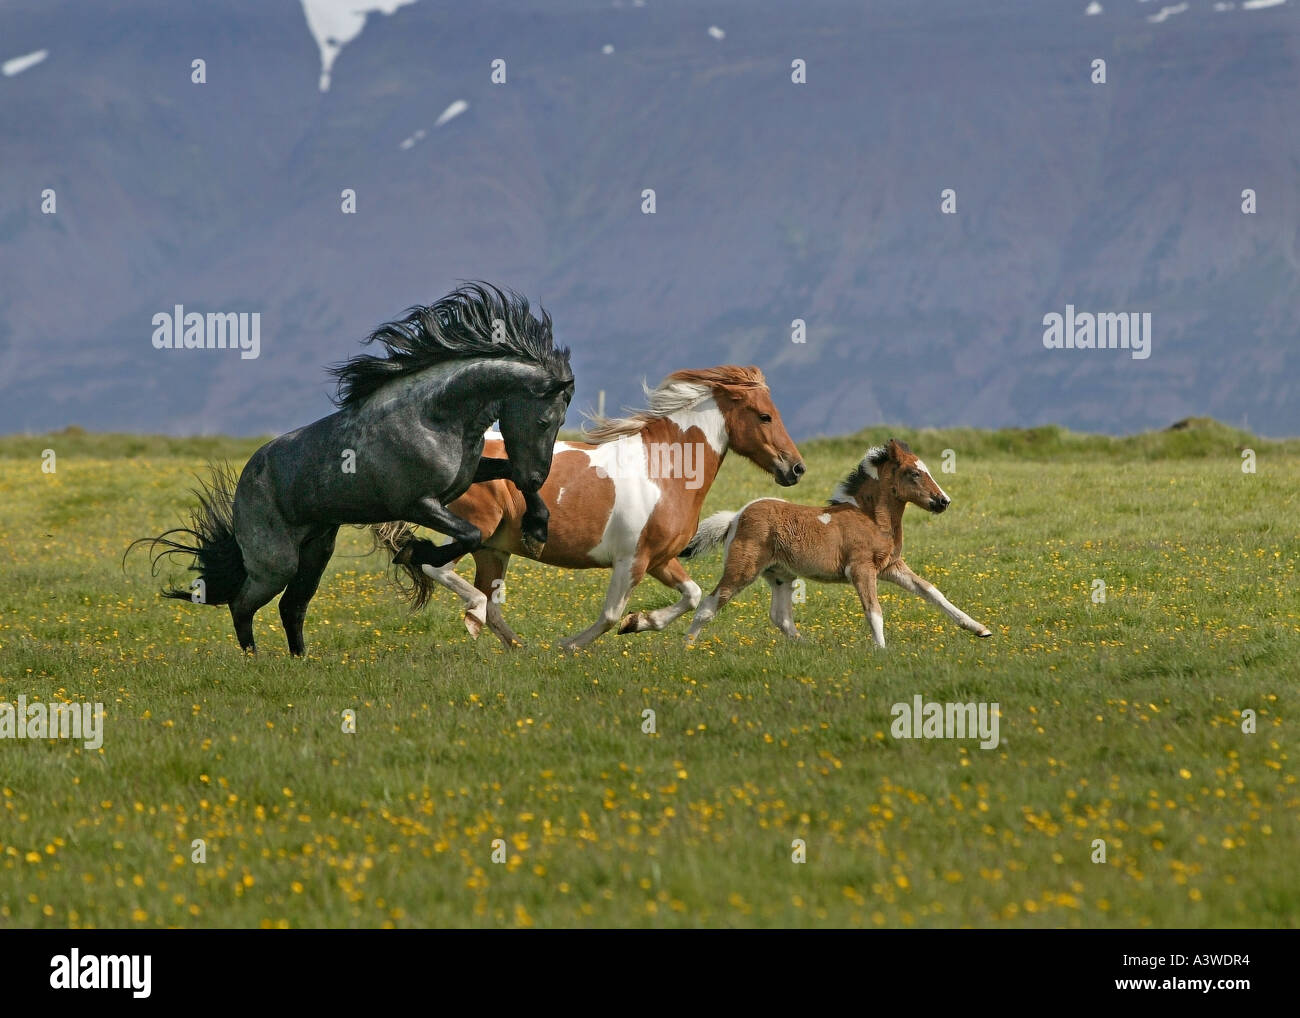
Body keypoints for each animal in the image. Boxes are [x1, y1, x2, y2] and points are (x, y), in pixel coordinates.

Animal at [129, 282, 572, 657]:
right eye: (544, 420)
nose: (538, 474)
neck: (434, 416)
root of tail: (246, 481)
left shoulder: (465, 477)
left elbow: (507, 475)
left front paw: (536, 531)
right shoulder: (416, 503)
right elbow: (469, 533)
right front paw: (415, 551)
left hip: (315, 553)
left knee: (291, 607)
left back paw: (300, 660)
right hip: (276, 562)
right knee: (243, 604)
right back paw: (254, 661)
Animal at [377, 366, 800, 652]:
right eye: (765, 415)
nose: (795, 468)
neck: (664, 471)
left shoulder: (660, 558)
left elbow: (693, 595)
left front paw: (640, 622)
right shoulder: (632, 560)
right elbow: (611, 614)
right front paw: (571, 645)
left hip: (493, 549)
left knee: (489, 602)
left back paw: (516, 646)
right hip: (474, 530)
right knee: (437, 569)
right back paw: (476, 618)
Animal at [681, 436, 993, 644]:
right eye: (914, 473)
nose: (943, 501)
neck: (870, 517)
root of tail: (735, 517)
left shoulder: (891, 567)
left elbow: (931, 591)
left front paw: (980, 629)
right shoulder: (861, 569)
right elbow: (874, 610)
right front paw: (882, 653)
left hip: (780, 575)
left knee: (781, 617)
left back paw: (807, 647)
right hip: (743, 569)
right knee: (708, 606)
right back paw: (686, 648)